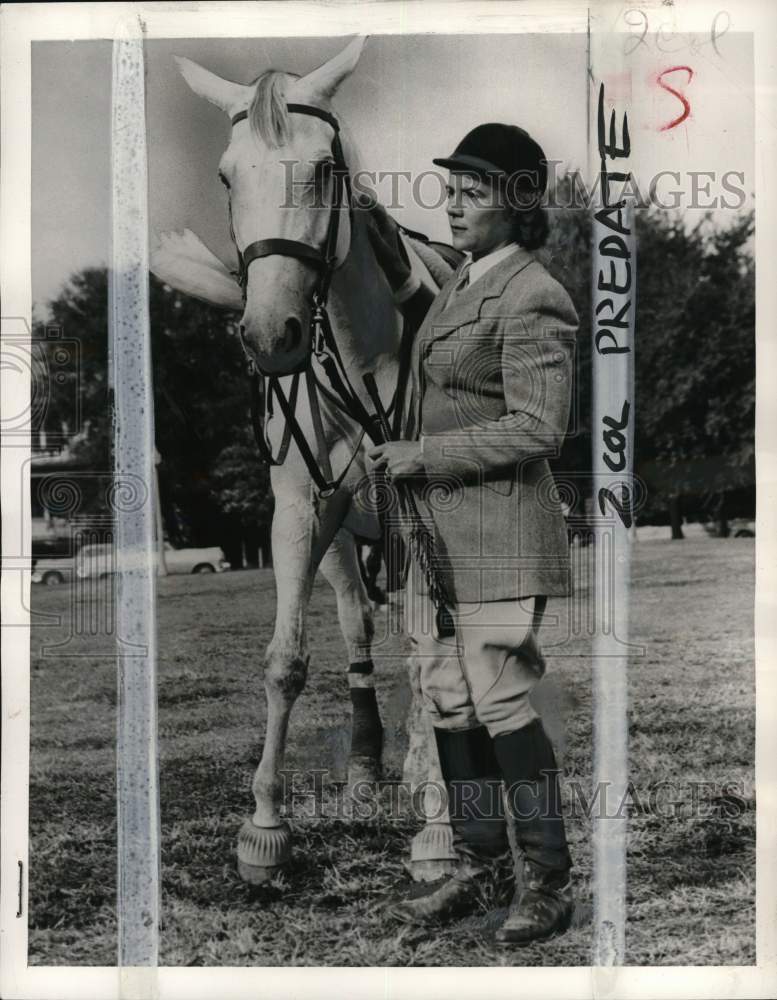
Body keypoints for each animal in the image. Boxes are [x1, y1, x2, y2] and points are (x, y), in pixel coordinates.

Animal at [152, 37, 454, 884]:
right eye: (227, 175)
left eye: (323, 169)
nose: (270, 335)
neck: (359, 347)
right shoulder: (302, 511)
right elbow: (286, 659)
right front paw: (264, 827)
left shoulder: (423, 508)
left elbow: (426, 652)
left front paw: (436, 827)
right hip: (348, 537)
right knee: (359, 627)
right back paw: (368, 772)